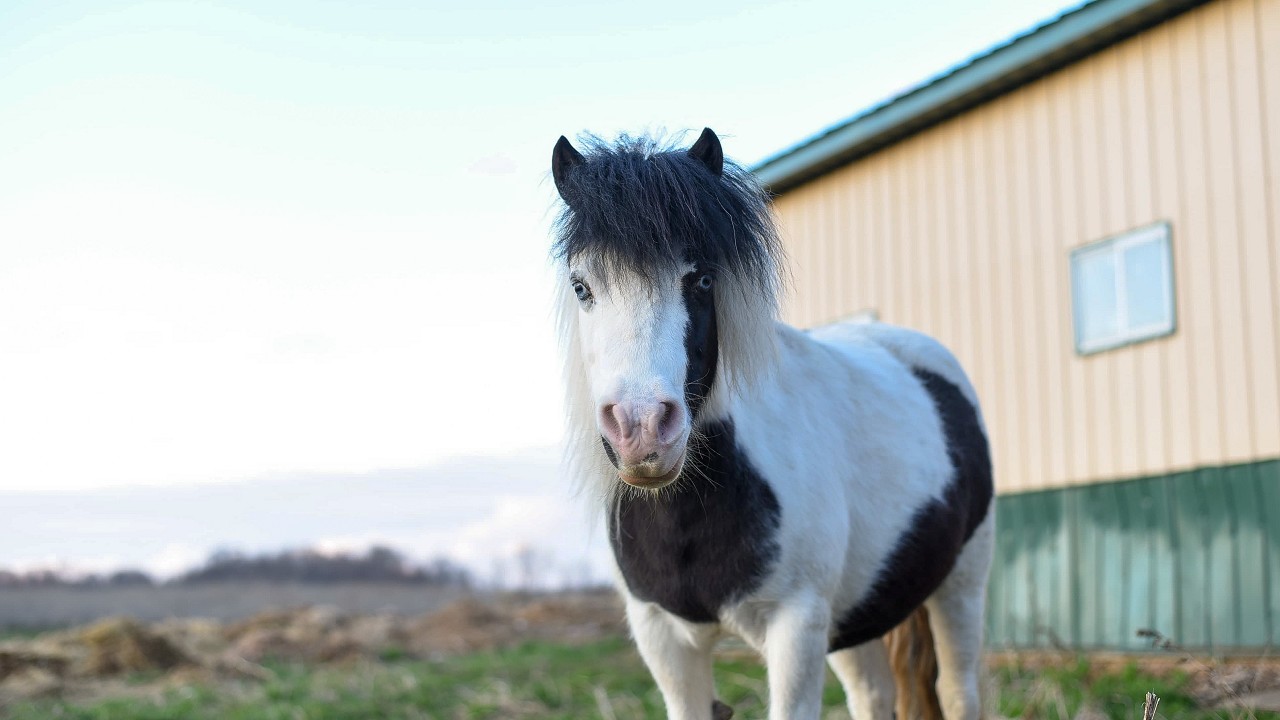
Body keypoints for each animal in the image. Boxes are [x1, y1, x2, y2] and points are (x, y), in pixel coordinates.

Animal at [549, 127, 994, 720]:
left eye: (702, 279)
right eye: (581, 287)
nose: (641, 430)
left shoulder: (796, 627)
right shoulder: (663, 638)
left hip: (962, 583)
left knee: (958, 690)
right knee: (873, 695)